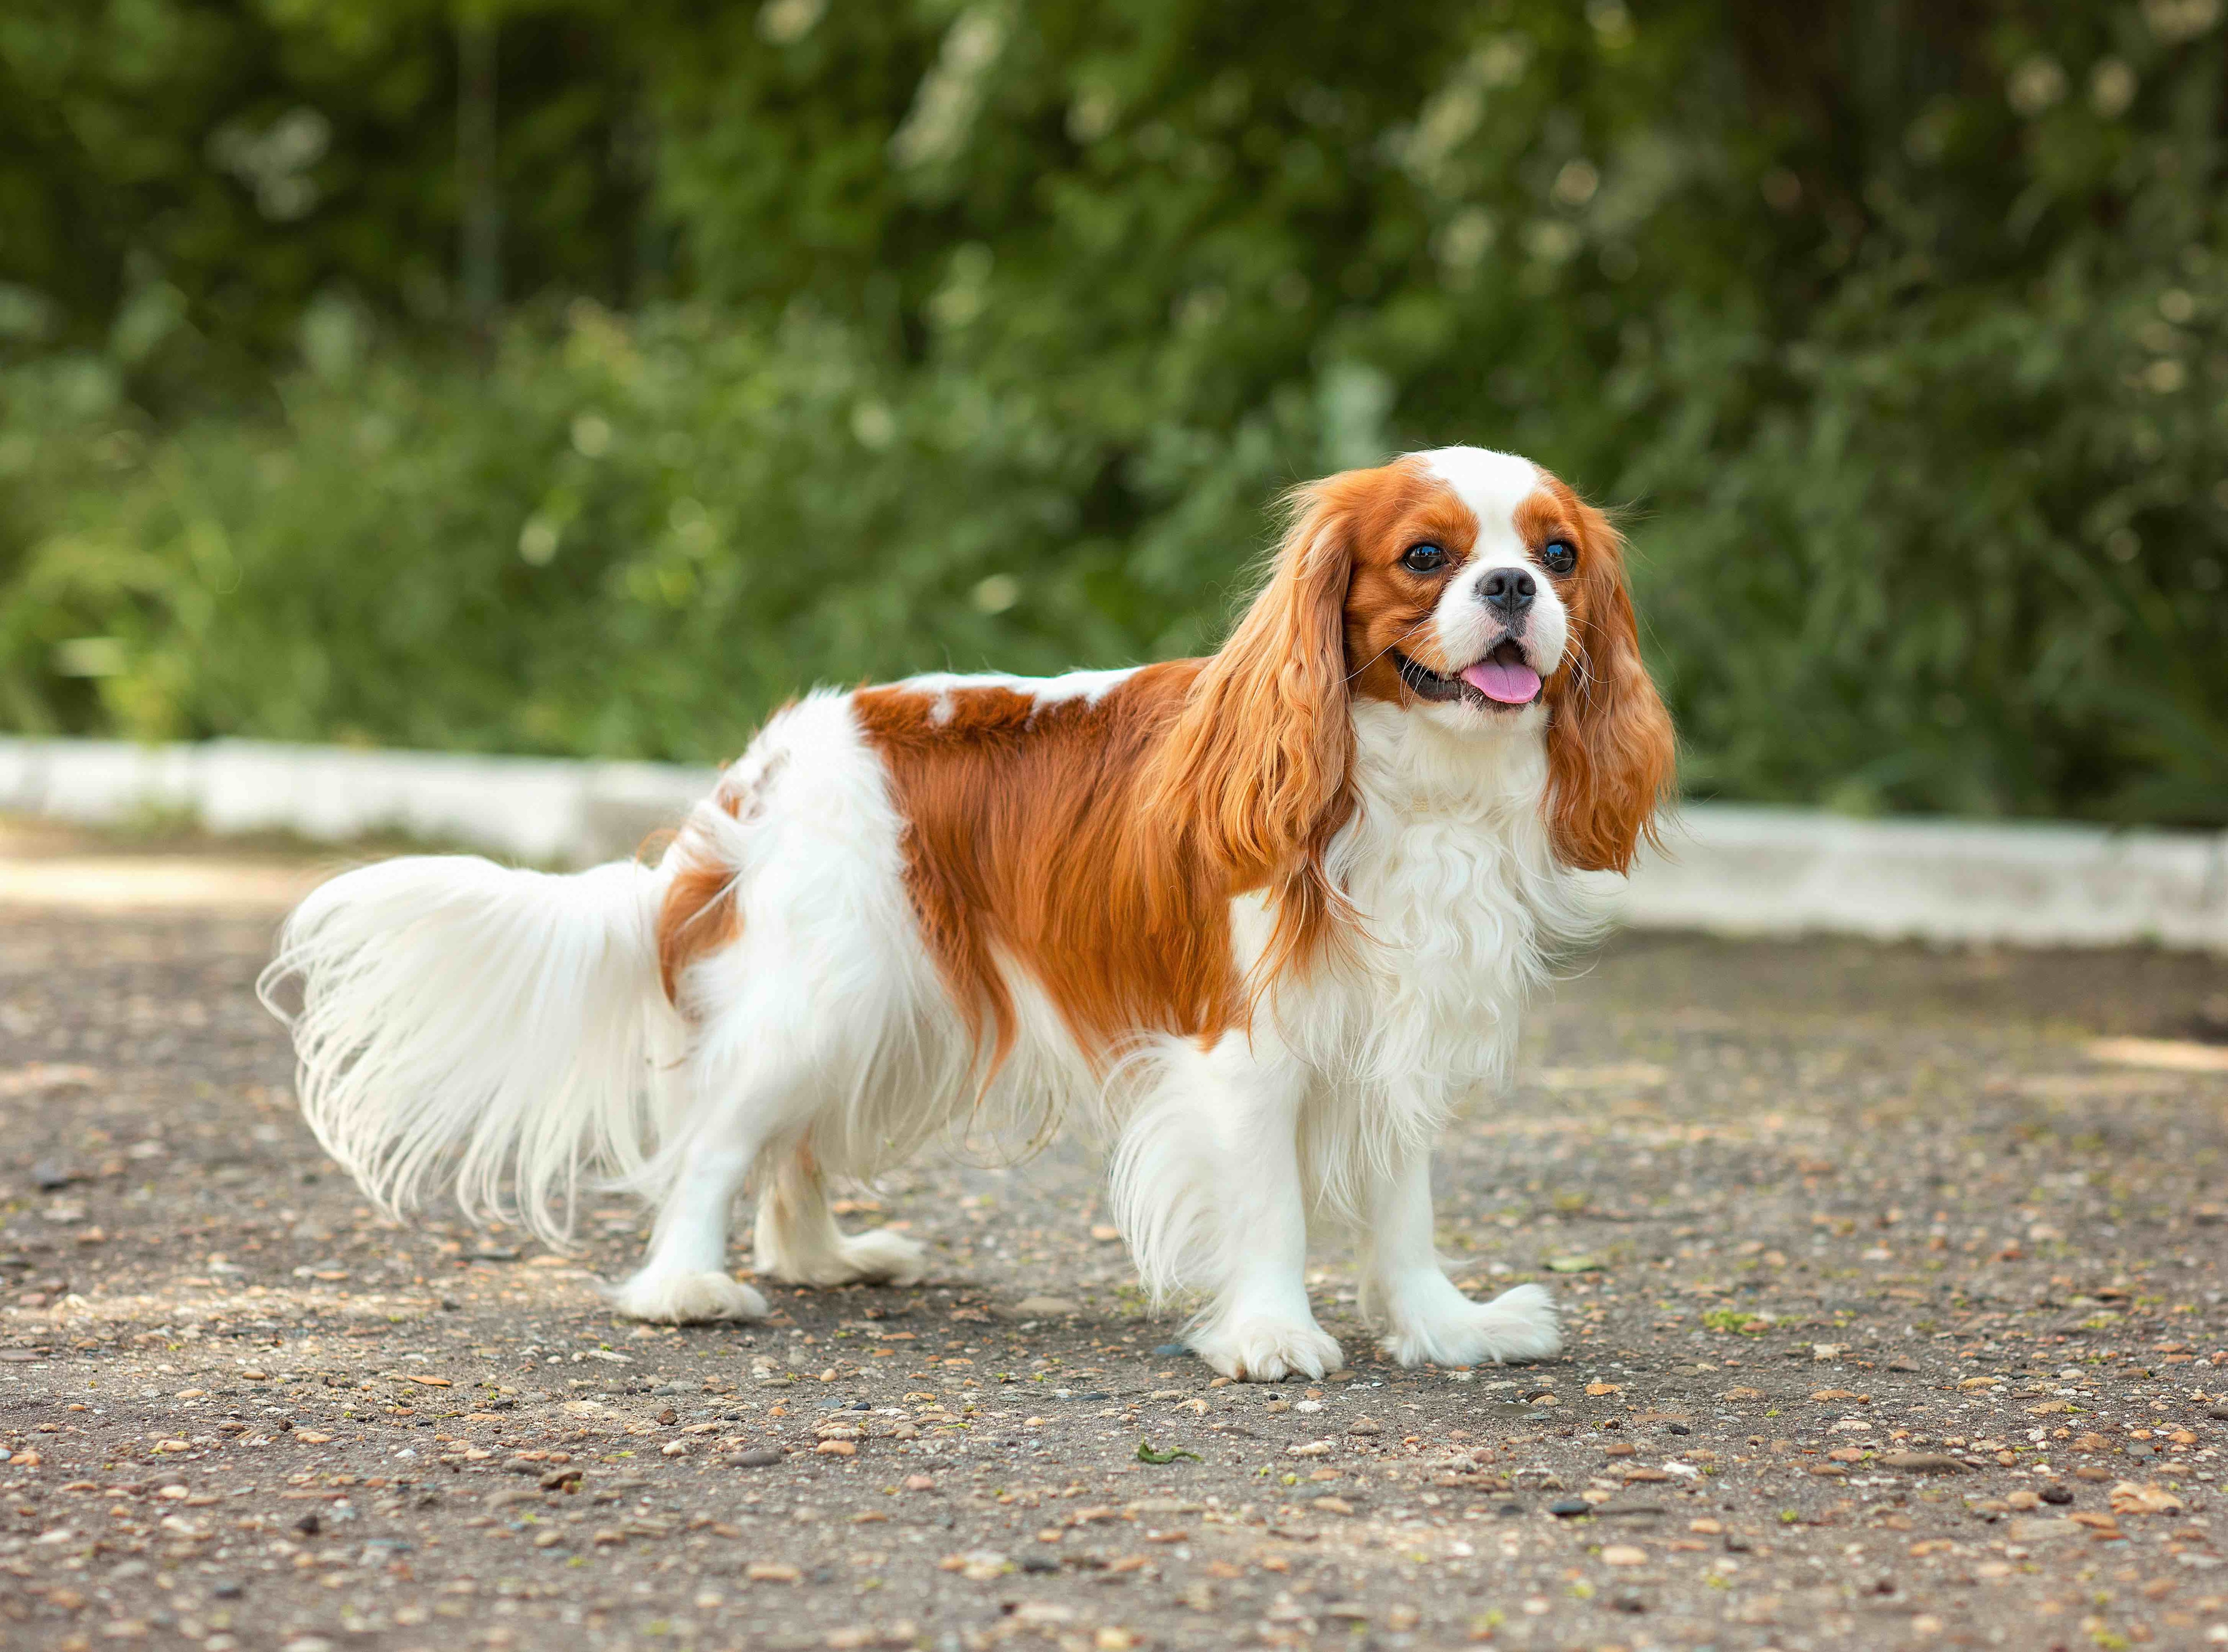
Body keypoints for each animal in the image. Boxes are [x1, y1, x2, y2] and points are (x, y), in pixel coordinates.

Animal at [261, 450, 1675, 1380]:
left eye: (1556, 554)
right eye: (1427, 557)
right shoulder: (1243, 1043)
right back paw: (687, 1287)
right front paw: (1274, 1333)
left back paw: (822, 1260)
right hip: (817, 991)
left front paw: (1444, 1327)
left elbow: (1401, 1204)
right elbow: (1270, 1197)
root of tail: (759, 764)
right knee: (715, 1140)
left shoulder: (1395, 1029)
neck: (1412, 785)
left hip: (878, 1006)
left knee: (791, 1146)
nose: (1513, 589)